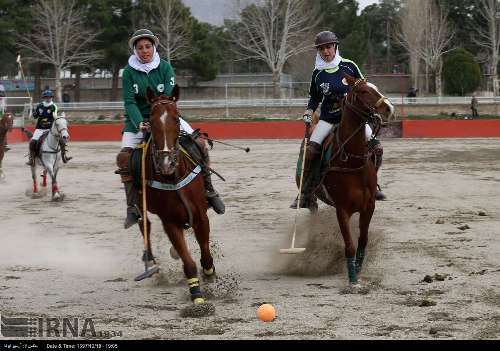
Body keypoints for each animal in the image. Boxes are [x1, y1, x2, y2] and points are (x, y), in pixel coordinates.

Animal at [137, 85, 215, 306]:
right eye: (151, 120)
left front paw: (210, 275)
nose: (166, 163)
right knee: (143, 222)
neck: (173, 177)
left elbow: (206, 254)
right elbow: (187, 261)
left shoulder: (200, 216)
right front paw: (196, 294)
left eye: (176, 118)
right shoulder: (170, 221)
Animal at [306, 73, 392, 286]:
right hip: (313, 200)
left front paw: (358, 270)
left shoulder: (368, 206)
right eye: (363, 91)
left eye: (375, 87)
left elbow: (362, 241)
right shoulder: (342, 210)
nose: (389, 108)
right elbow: (349, 245)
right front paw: (352, 280)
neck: (352, 160)